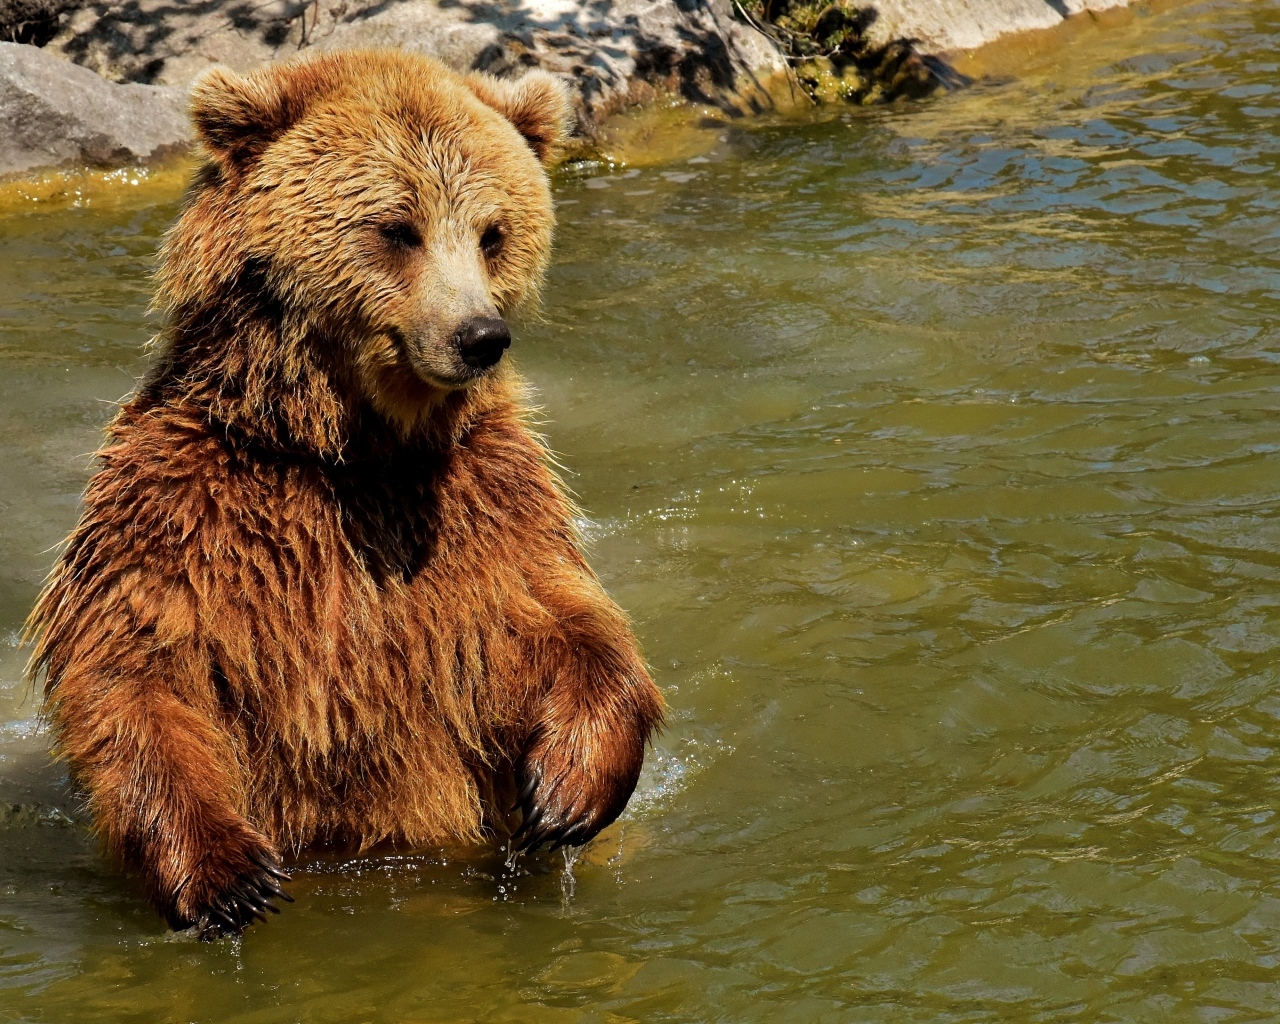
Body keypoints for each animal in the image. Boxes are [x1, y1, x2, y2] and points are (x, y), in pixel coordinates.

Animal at [25, 49, 664, 940]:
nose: (479, 335)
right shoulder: (182, 502)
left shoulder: (484, 499)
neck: (348, 450)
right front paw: (228, 877)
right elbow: (139, 665)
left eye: (494, 232)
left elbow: (560, 619)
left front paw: (567, 789)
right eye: (397, 228)